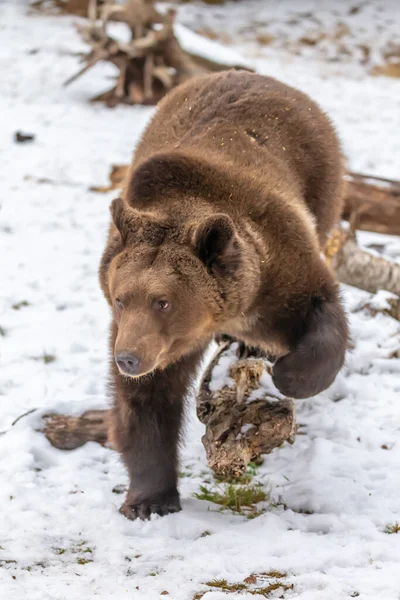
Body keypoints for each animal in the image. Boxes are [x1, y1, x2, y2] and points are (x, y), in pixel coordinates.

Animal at [101, 70, 350, 520]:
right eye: (121, 298)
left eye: (163, 301)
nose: (127, 358)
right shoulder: (153, 340)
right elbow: (147, 403)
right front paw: (149, 500)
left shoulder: (278, 266)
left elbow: (321, 310)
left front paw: (287, 372)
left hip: (321, 179)